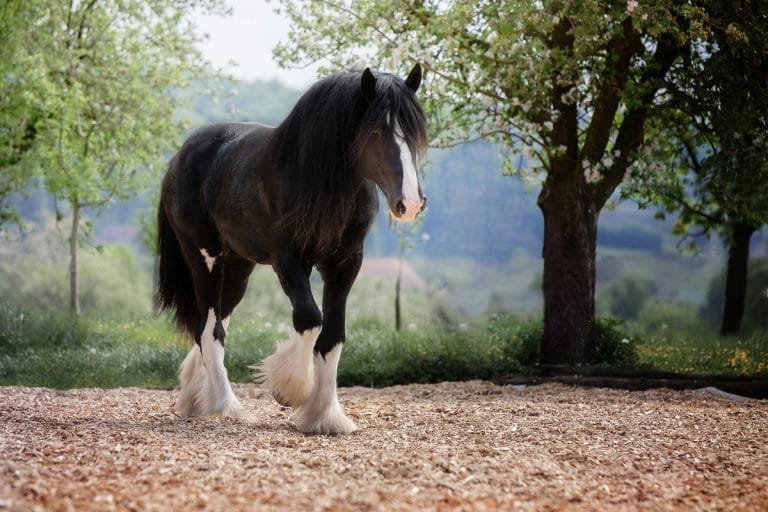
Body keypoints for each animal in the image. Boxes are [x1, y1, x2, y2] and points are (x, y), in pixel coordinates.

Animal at [156, 64, 427, 435]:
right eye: (375, 131)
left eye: (414, 134)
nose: (410, 203)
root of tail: (181, 156)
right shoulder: (288, 259)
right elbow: (310, 319)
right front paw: (291, 390)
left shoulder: (345, 263)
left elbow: (333, 336)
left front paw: (326, 415)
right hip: (204, 257)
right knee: (210, 329)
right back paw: (228, 407)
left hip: (237, 267)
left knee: (212, 324)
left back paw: (197, 398)